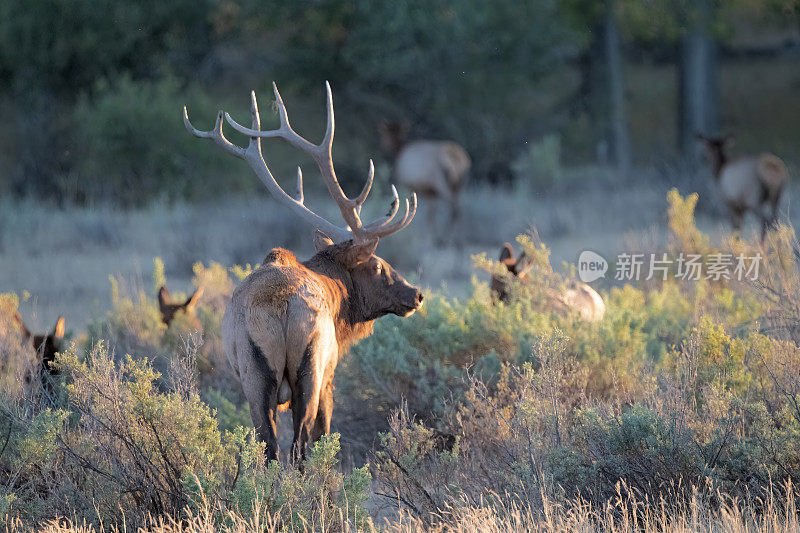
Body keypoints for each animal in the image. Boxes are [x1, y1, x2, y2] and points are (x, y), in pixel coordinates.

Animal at [185, 81, 424, 460]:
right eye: (377, 265)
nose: (416, 294)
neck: (340, 304)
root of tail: (281, 307)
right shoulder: (331, 373)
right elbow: (323, 435)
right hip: (310, 368)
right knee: (300, 445)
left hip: (253, 375)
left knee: (269, 447)